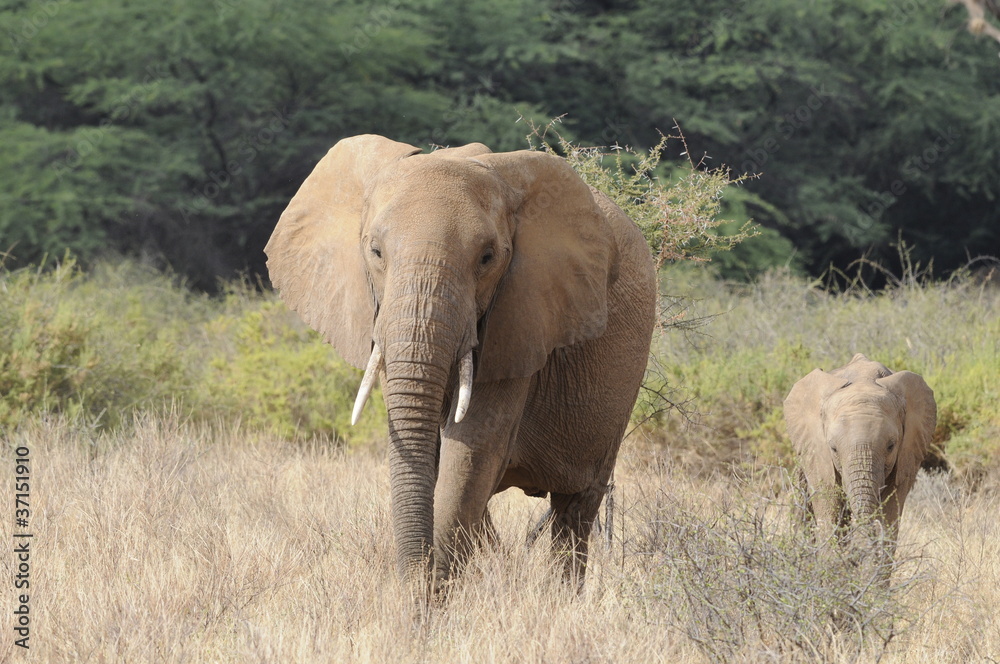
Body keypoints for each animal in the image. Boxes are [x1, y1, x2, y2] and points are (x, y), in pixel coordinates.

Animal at [262, 135, 660, 592]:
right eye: (375, 251)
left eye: (487, 257)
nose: (414, 594)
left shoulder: (520, 318)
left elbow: (469, 454)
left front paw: (430, 605)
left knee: (575, 509)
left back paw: (560, 597)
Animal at [780, 352, 936, 556]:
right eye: (833, 449)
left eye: (891, 446)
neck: (863, 379)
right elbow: (829, 508)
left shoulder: (907, 455)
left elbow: (891, 515)